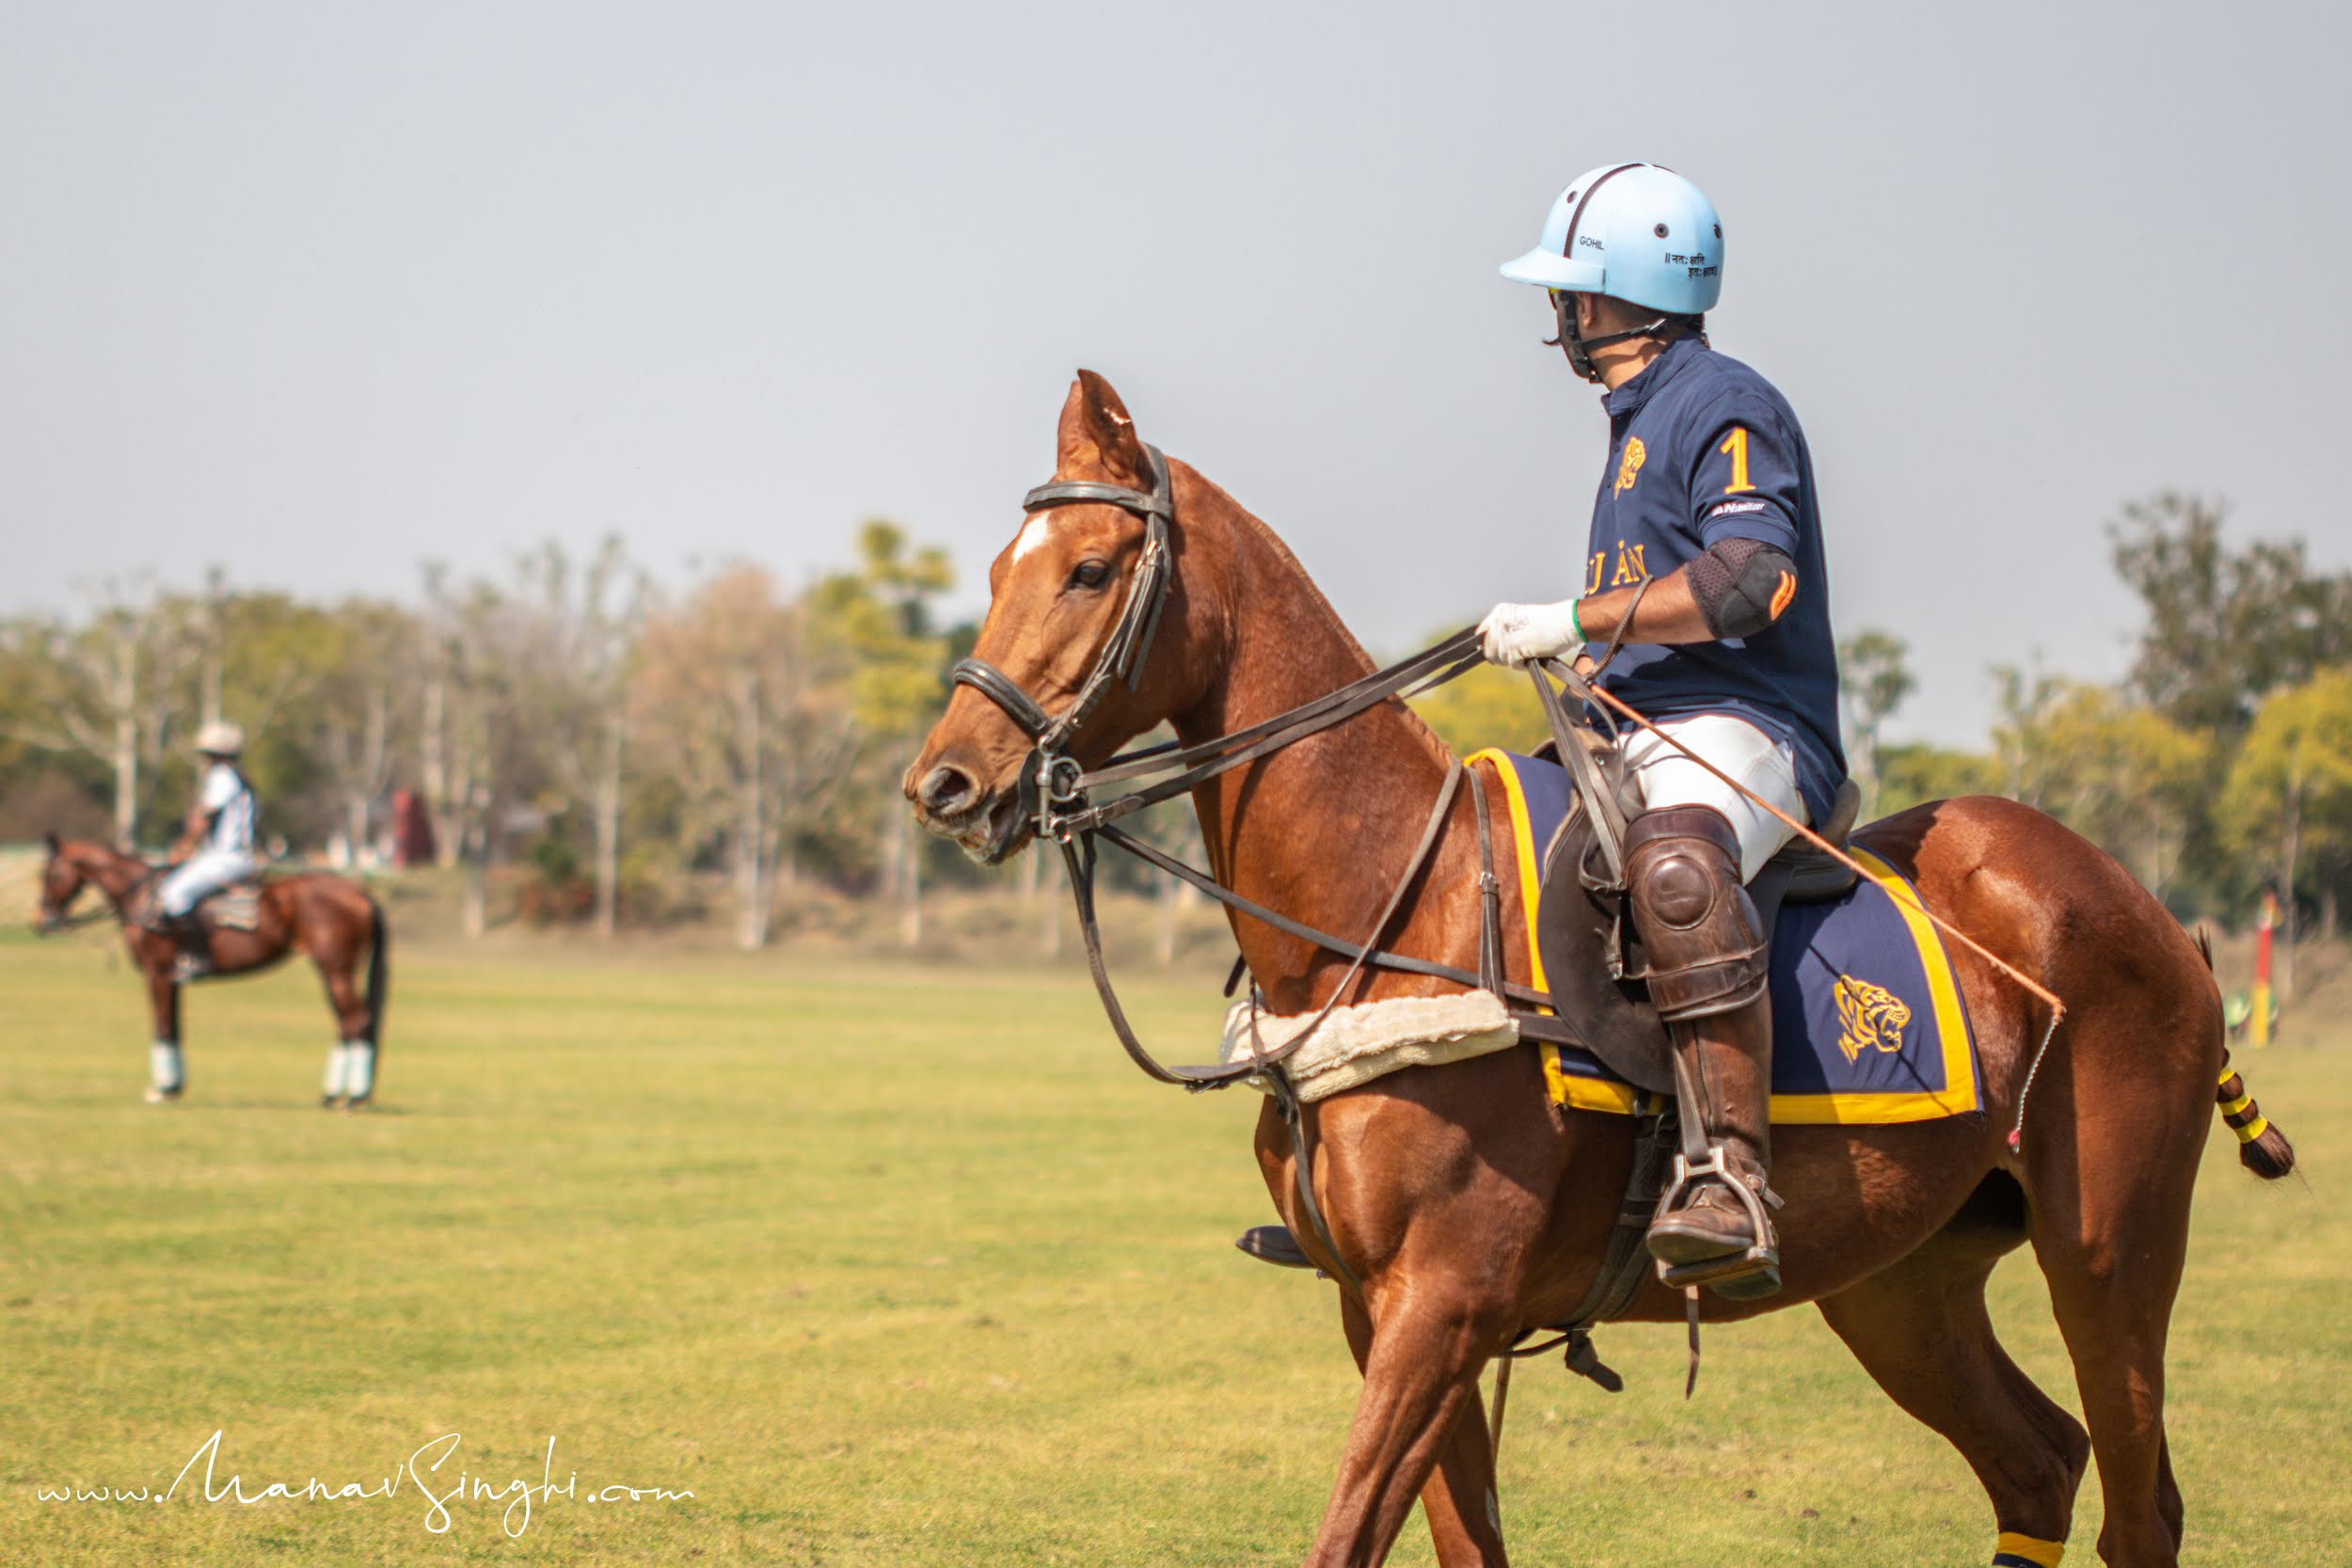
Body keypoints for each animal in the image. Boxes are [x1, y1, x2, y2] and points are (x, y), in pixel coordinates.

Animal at [35, 827, 390, 1109]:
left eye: (50, 874)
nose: (41, 923)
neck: (141, 898)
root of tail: (363, 895)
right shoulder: (173, 979)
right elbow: (175, 1026)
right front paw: (174, 1088)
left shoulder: (157, 974)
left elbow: (162, 1026)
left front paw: (161, 1090)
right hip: (333, 971)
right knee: (346, 1021)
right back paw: (334, 1094)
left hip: (335, 969)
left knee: (356, 1018)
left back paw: (353, 1096)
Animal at [903, 371, 2296, 1568]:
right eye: (997, 568)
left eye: (1089, 568)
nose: (944, 783)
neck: (1389, 906)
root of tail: (2156, 912)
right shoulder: (1381, 1309)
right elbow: (1462, 1538)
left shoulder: (1443, 1301)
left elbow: (1345, 1533)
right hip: (1904, 1274)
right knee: (2038, 1462)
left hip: (2109, 1244)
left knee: (2139, 1502)